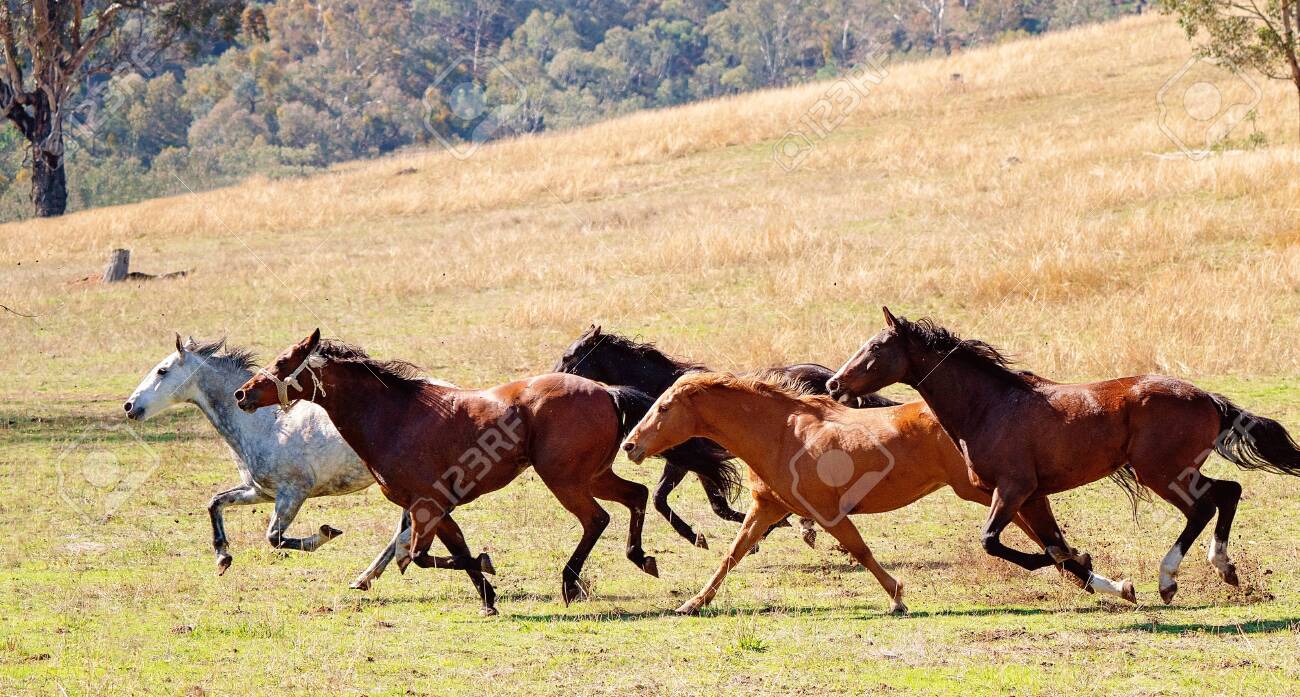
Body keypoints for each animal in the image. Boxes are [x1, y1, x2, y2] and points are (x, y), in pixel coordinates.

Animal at [123, 334, 412, 590]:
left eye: (162, 371)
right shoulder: (260, 492)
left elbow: (274, 537)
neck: (267, 426)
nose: (129, 406)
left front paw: (326, 533)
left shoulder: (293, 493)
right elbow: (216, 502)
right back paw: (366, 577)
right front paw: (222, 558)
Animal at [234, 329, 661, 614]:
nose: (242, 394)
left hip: (565, 479)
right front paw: (488, 598)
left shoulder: (428, 504)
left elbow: (418, 558)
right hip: (593, 476)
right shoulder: (436, 508)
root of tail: (606, 391)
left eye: (283, 362)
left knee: (596, 519)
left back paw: (571, 583)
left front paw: (486, 568)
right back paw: (640, 558)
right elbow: (453, 549)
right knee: (636, 496)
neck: (393, 416)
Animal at [554, 325, 899, 549]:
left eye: (570, 357)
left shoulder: (691, 460)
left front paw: (757, 531)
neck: (662, 386)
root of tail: (830, 378)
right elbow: (678, 501)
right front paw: (703, 537)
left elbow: (691, 502)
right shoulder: (689, 463)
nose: (553, 380)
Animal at [619, 371, 1127, 615]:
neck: (781, 432)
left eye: (664, 408)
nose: (631, 445)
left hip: (984, 491)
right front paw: (691, 603)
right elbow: (731, 555)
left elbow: (860, 550)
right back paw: (1100, 579)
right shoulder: (768, 508)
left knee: (1036, 530)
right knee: (1039, 530)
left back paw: (1099, 578)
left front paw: (898, 596)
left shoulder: (825, 512)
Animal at [829, 307, 1300, 604]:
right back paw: (1223, 569)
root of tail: (1208, 399)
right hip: (1173, 473)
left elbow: (997, 542)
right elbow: (1051, 542)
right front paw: (1113, 583)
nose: (834, 385)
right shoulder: (1031, 495)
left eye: (875, 349)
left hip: (1162, 473)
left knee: (1204, 507)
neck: (990, 405)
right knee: (1228, 492)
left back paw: (1170, 579)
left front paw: (1075, 561)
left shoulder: (1013, 489)